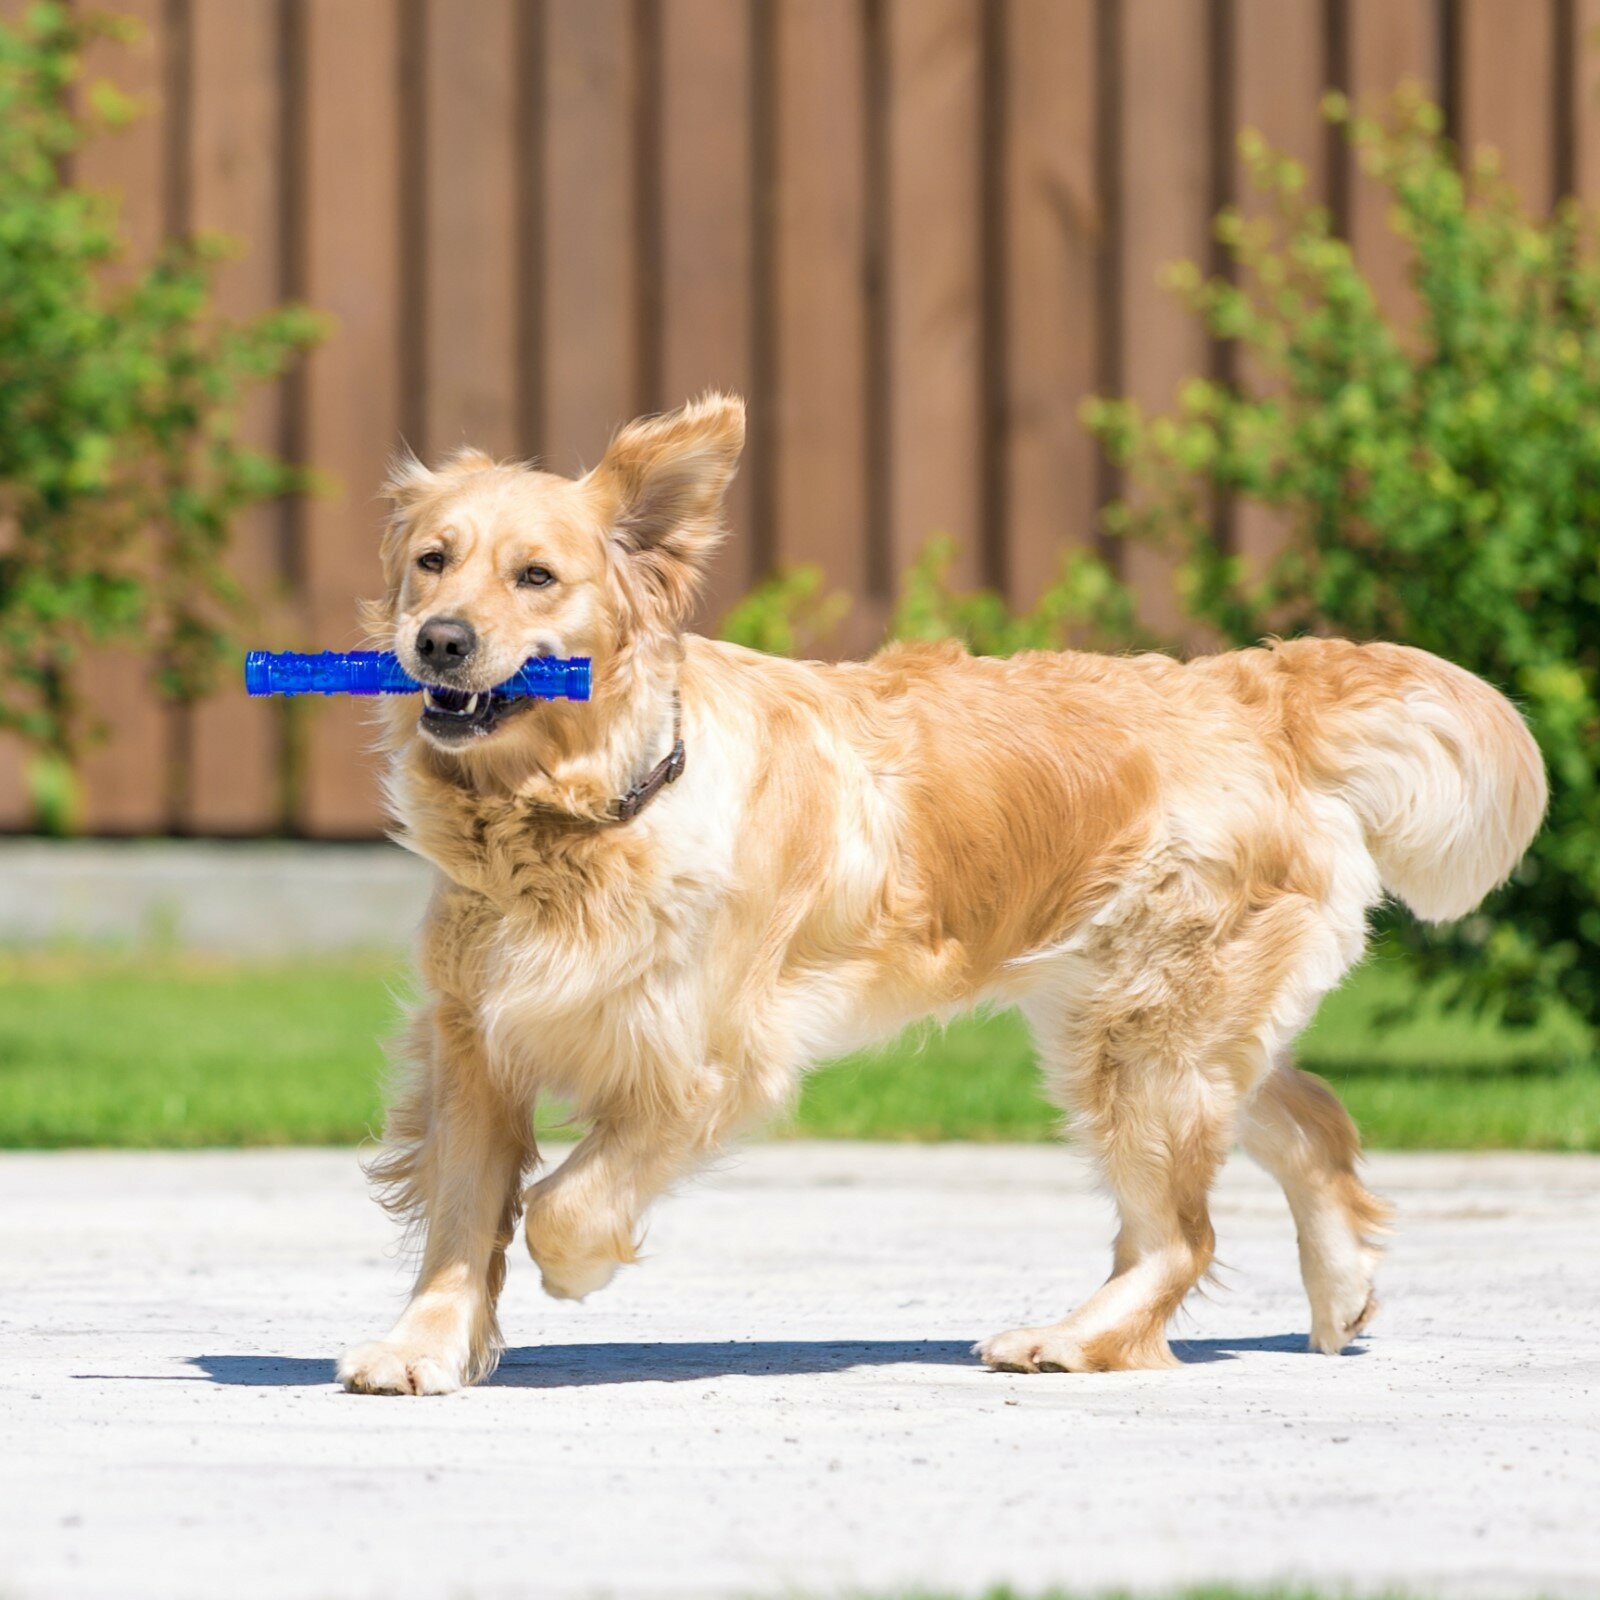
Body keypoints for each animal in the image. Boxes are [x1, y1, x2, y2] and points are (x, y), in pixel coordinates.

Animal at [340, 393, 1548, 1395]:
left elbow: (565, 1204)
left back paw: (1069, 1338)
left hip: (1141, 1036)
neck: (578, 814)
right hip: (1141, 1020)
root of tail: (1250, 686)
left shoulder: (710, 1059)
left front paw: (576, 1270)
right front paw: (422, 1347)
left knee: (1184, 1233)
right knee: (1310, 1118)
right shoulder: (474, 1037)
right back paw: (1340, 1289)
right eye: (432, 561)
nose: (438, 640)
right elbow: (461, 1217)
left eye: (536, 576)